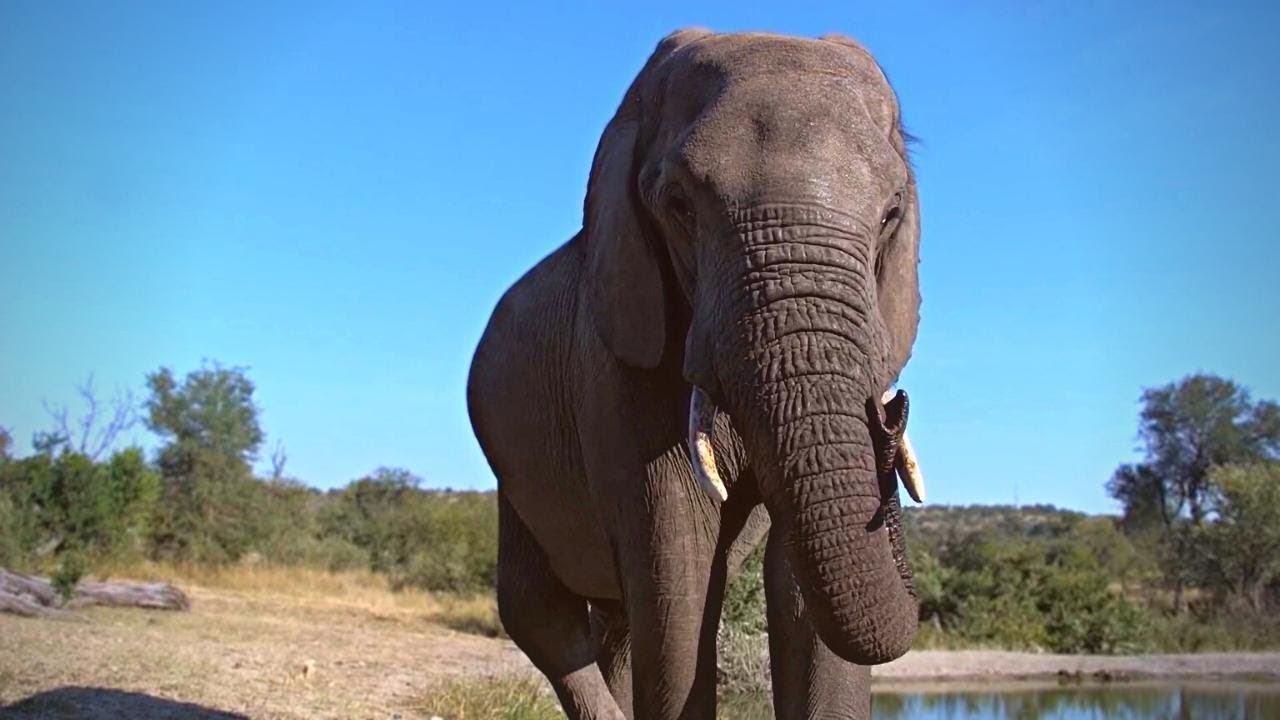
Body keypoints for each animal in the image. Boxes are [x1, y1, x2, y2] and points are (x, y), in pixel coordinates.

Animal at [467, 28, 926, 720]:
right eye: (679, 205)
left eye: (891, 213)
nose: (891, 412)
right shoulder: (615, 364)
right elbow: (678, 563)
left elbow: (798, 582)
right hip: (513, 469)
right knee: (541, 614)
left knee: (617, 625)